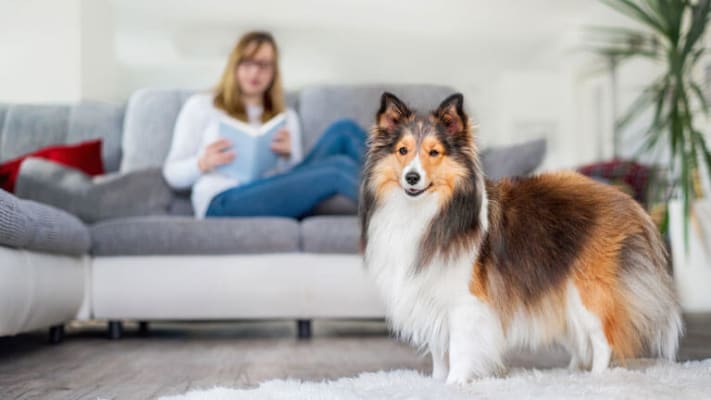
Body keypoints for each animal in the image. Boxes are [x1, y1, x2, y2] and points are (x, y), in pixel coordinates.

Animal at [362, 91, 684, 384]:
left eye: (434, 152)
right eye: (403, 151)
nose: (412, 178)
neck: (428, 211)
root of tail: (627, 201)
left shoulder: (464, 302)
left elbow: (459, 348)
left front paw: (455, 383)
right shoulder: (430, 297)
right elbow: (440, 351)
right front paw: (436, 384)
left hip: (589, 292)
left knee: (603, 340)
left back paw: (596, 379)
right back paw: (572, 373)